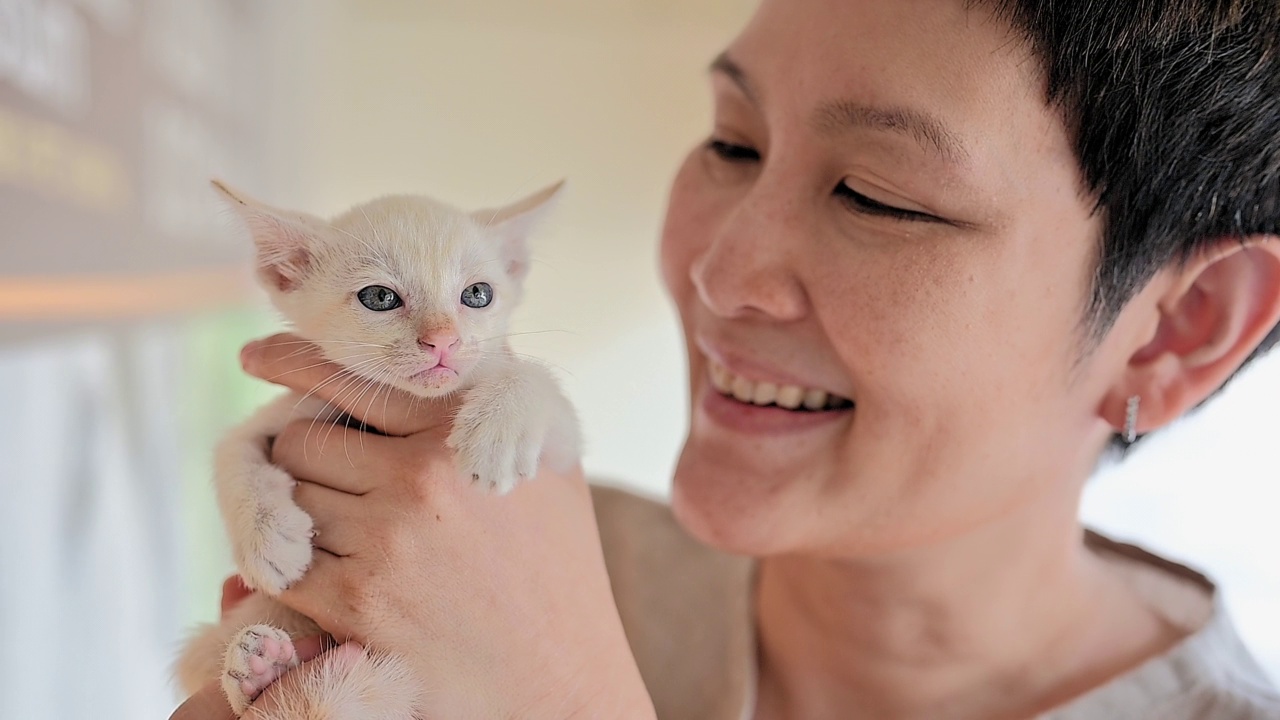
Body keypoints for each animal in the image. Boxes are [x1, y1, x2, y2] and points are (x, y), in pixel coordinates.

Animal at [174, 176, 581, 712]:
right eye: (380, 298)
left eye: (477, 294)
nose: (443, 341)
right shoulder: (296, 407)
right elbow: (231, 448)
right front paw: (268, 537)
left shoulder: (566, 451)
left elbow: (539, 385)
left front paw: (500, 431)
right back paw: (259, 671)